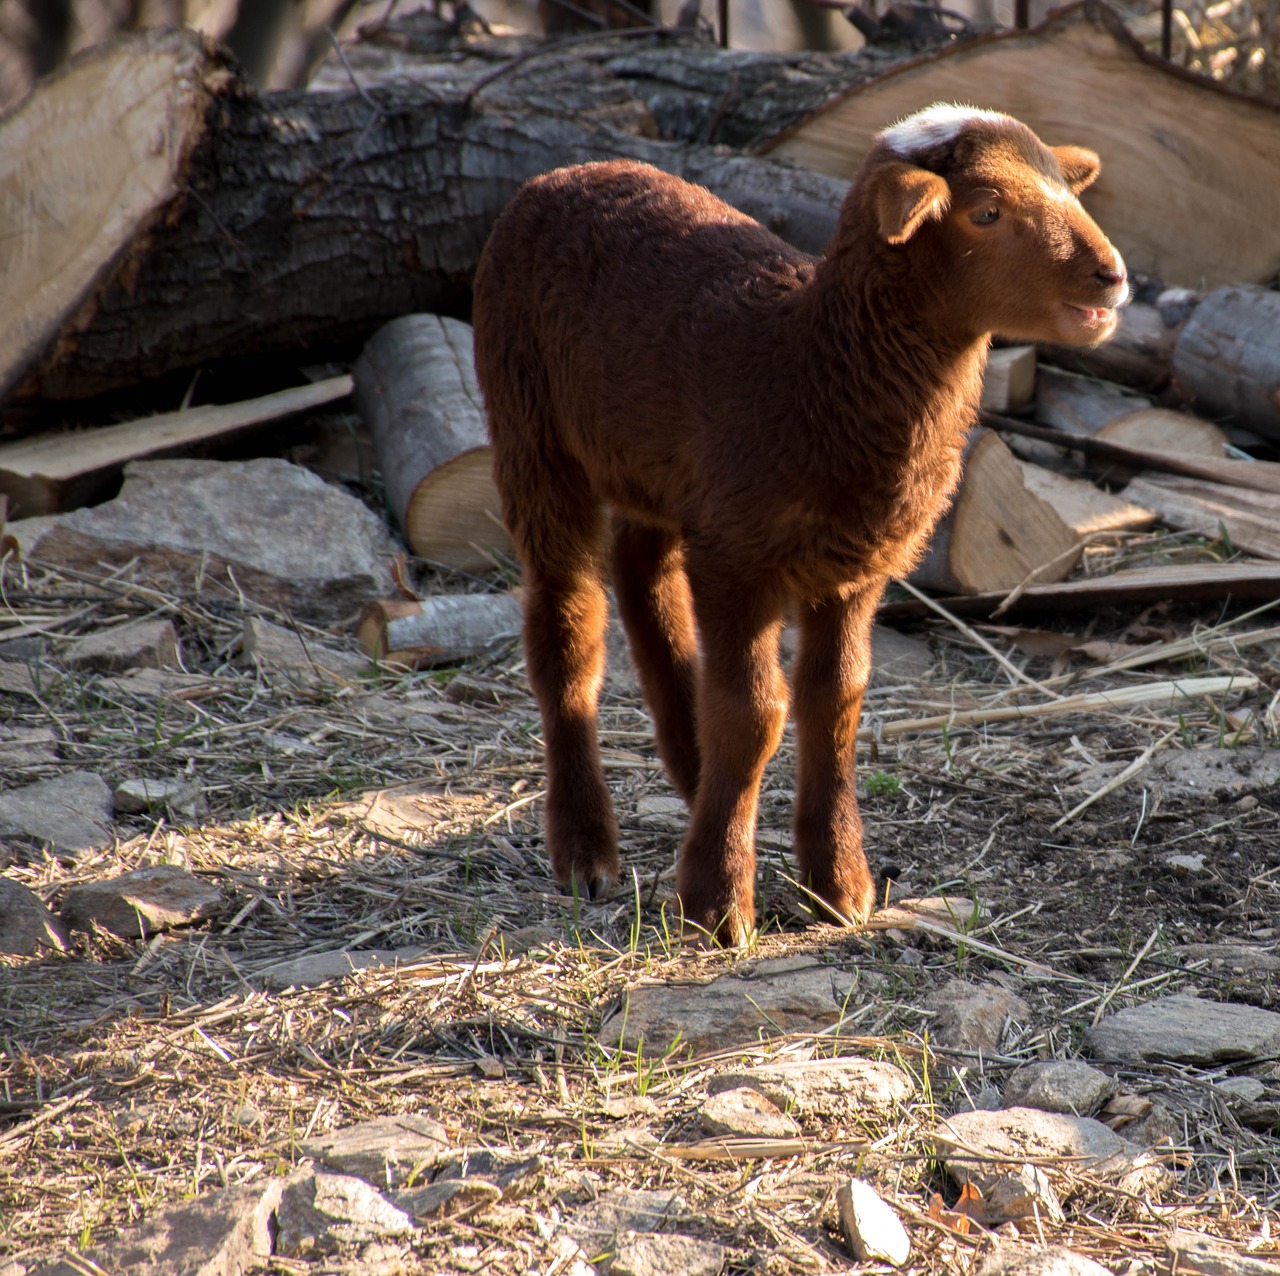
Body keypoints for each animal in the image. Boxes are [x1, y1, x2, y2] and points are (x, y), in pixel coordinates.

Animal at [468, 102, 1121, 947]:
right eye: (986, 212)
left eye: (1065, 190)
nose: (1112, 276)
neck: (811, 362)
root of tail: (565, 171)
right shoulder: (739, 559)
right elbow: (753, 714)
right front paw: (719, 904)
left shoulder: (855, 566)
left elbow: (835, 701)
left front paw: (839, 884)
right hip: (531, 420)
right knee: (567, 627)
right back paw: (586, 850)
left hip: (660, 470)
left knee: (644, 575)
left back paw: (694, 772)